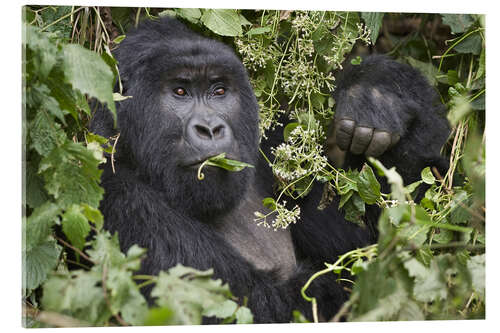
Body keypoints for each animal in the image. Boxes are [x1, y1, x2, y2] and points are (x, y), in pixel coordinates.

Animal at [91, 15, 454, 322]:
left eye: (219, 90)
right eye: (179, 91)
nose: (211, 128)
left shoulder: (275, 151)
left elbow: (385, 245)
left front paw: (379, 91)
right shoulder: (122, 200)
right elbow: (264, 304)